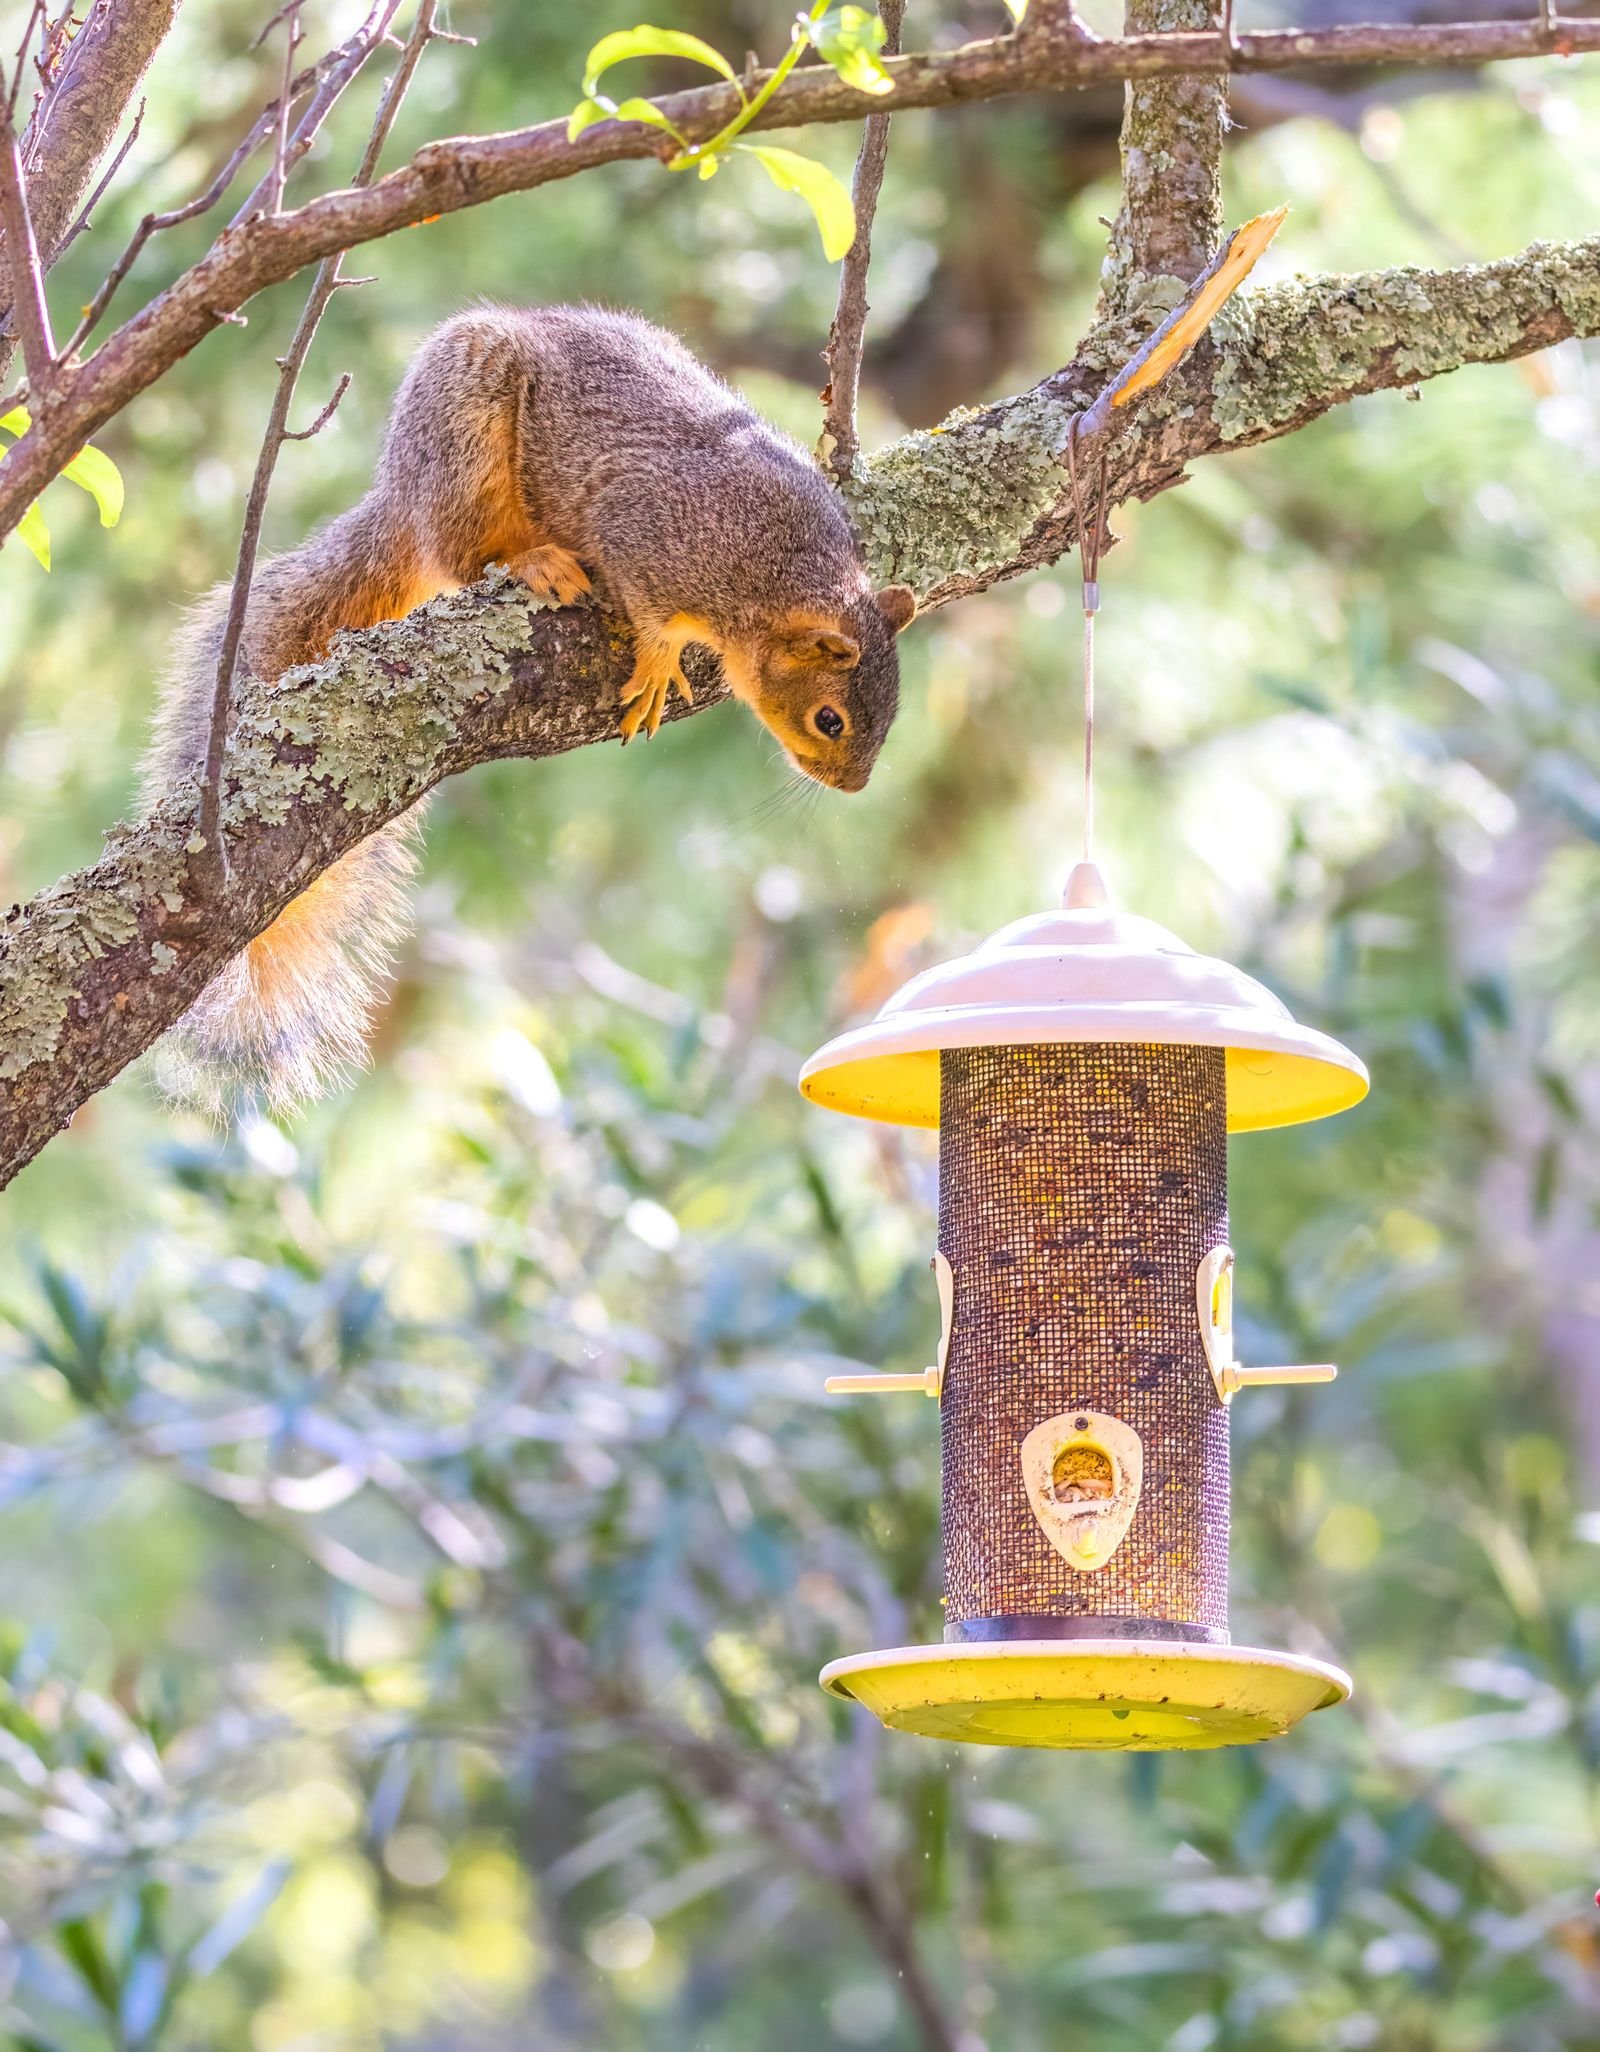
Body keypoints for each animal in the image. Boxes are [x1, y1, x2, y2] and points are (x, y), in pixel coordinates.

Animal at [144, 305, 917, 1116]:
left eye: (890, 717)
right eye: (830, 720)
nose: (853, 786)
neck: (783, 573)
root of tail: (399, 491)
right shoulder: (644, 536)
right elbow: (650, 616)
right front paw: (657, 663)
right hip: (466, 440)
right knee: (465, 554)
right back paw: (532, 561)